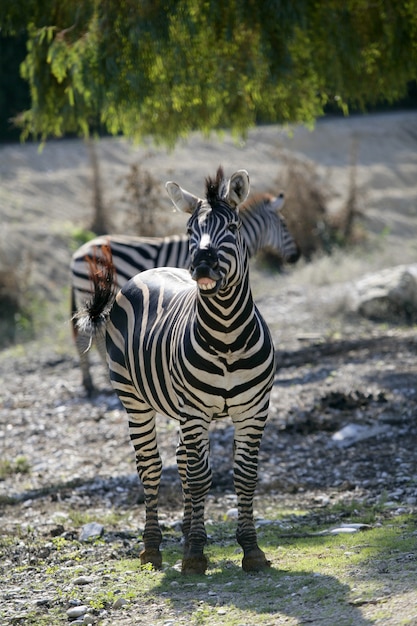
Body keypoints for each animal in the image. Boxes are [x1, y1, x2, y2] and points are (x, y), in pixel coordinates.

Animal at [70, 193, 298, 392]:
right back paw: (94, 382)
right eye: (284, 225)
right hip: (91, 293)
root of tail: (77, 252)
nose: (297, 256)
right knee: (88, 337)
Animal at [75, 165, 276, 572]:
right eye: (189, 230)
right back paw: (153, 546)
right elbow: (199, 479)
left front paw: (250, 548)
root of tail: (148, 271)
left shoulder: (254, 411)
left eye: (232, 226)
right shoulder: (195, 411)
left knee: (183, 463)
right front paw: (196, 554)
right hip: (136, 402)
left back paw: (184, 535)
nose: (201, 263)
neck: (227, 334)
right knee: (152, 468)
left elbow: (244, 476)